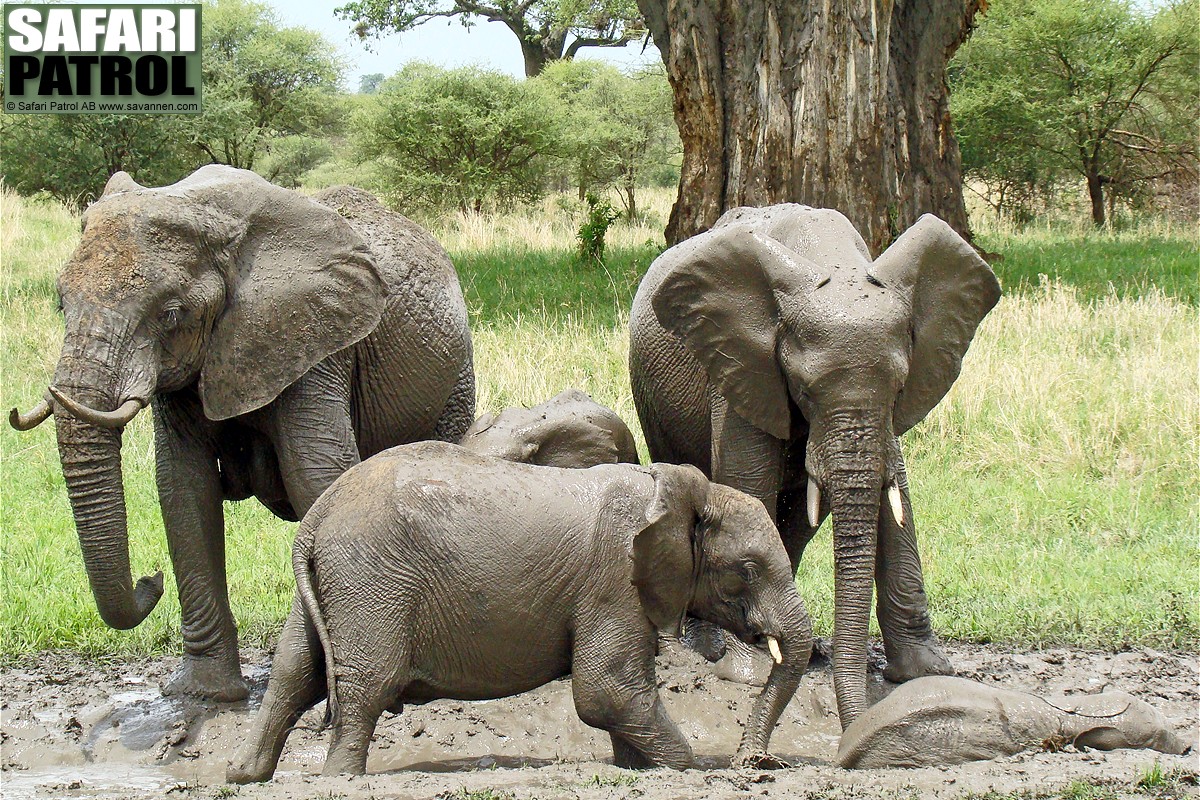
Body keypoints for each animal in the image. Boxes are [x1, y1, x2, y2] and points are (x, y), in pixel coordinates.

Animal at [11, 167, 477, 700]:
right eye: (59, 302)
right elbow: (184, 490)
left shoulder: (313, 345)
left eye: (170, 314)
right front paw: (204, 694)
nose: (150, 582)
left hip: (455, 375)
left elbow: (318, 478)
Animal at [226, 438, 816, 782]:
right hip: (370, 579)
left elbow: (617, 694)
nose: (756, 765)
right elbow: (605, 691)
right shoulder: (614, 579)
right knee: (366, 684)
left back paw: (245, 775)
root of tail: (317, 514)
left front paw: (635, 768)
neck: (678, 490)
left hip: (336, 580)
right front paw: (687, 770)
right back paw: (341, 780)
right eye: (747, 568)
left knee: (294, 670)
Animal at [628, 203, 1003, 729]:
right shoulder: (741, 363)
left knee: (799, 522)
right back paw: (705, 646)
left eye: (900, 385)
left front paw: (926, 674)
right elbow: (747, 480)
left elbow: (896, 495)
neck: (833, 260)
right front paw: (745, 673)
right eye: (802, 388)